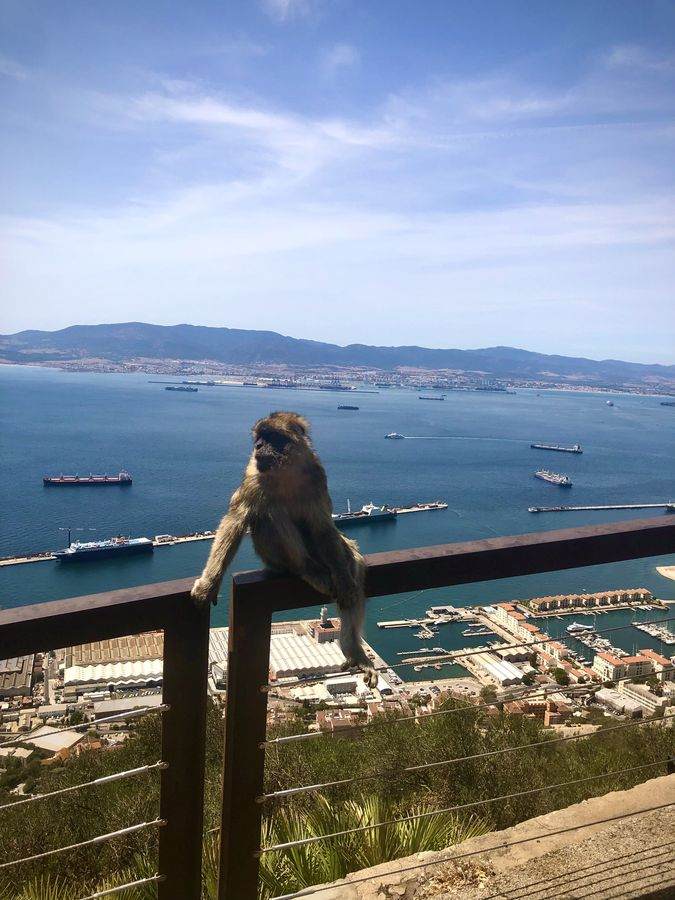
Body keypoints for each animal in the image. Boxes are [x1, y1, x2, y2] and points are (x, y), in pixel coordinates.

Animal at [191, 411, 377, 686]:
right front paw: (209, 584)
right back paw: (307, 569)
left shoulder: (317, 475)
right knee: (270, 513)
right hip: (275, 560)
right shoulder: (253, 475)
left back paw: (353, 648)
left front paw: (344, 579)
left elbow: (323, 527)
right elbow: (236, 519)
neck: (286, 470)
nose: (257, 446)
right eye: (258, 437)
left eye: (270, 436)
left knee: (350, 558)